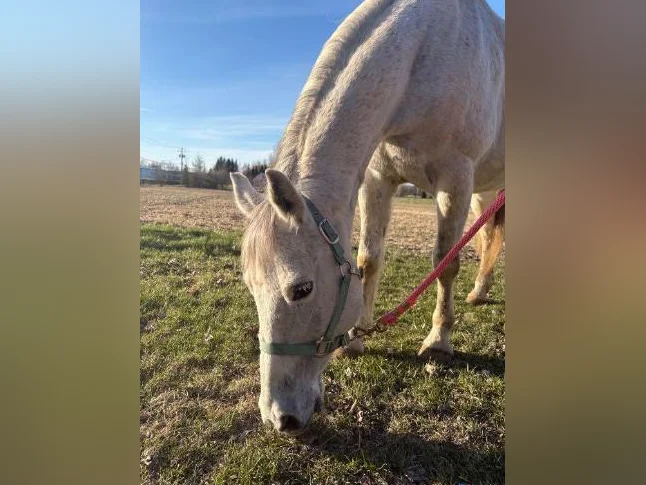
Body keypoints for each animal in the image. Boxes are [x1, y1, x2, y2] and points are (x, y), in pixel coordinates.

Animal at [230, 0, 504, 434]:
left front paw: (438, 342)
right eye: (251, 287)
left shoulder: (455, 178)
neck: (423, 54)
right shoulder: (377, 179)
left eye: (302, 289)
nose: (279, 418)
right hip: (485, 191)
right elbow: (369, 260)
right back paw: (479, 292)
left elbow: (445, 263)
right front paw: (357, 338)